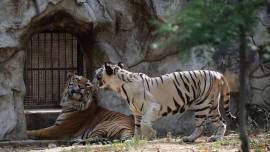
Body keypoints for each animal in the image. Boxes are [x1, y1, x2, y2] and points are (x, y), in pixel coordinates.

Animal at [93, 61, 236, 142]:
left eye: (98, 74)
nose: (92, 78)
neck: (120, 87)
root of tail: (217, 73)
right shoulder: (137, 112)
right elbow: (137, 127)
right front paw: (135, 140)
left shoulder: (152, 107)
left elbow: (144, 123)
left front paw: (150, 135)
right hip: (212, 106)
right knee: (222, 123)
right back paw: (216, 138)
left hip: (203, 104)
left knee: (201, 127)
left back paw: (190, 139)